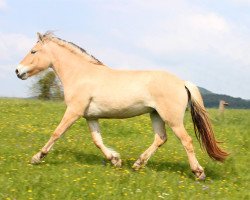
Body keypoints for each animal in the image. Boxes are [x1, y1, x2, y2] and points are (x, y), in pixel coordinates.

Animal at [14, 32, 228, 180]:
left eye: (33, 51)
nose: (17, 71)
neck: (81, 75)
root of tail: (183, 82)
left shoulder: (74, 111)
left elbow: (56, 133)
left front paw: (37, 158)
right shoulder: (90, 116)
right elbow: (97, 140)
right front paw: (115, 160)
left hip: (172, 119)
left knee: (187, 141)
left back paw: (198, 173)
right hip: (156, 115)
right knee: (160, 138)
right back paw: (138, 164)